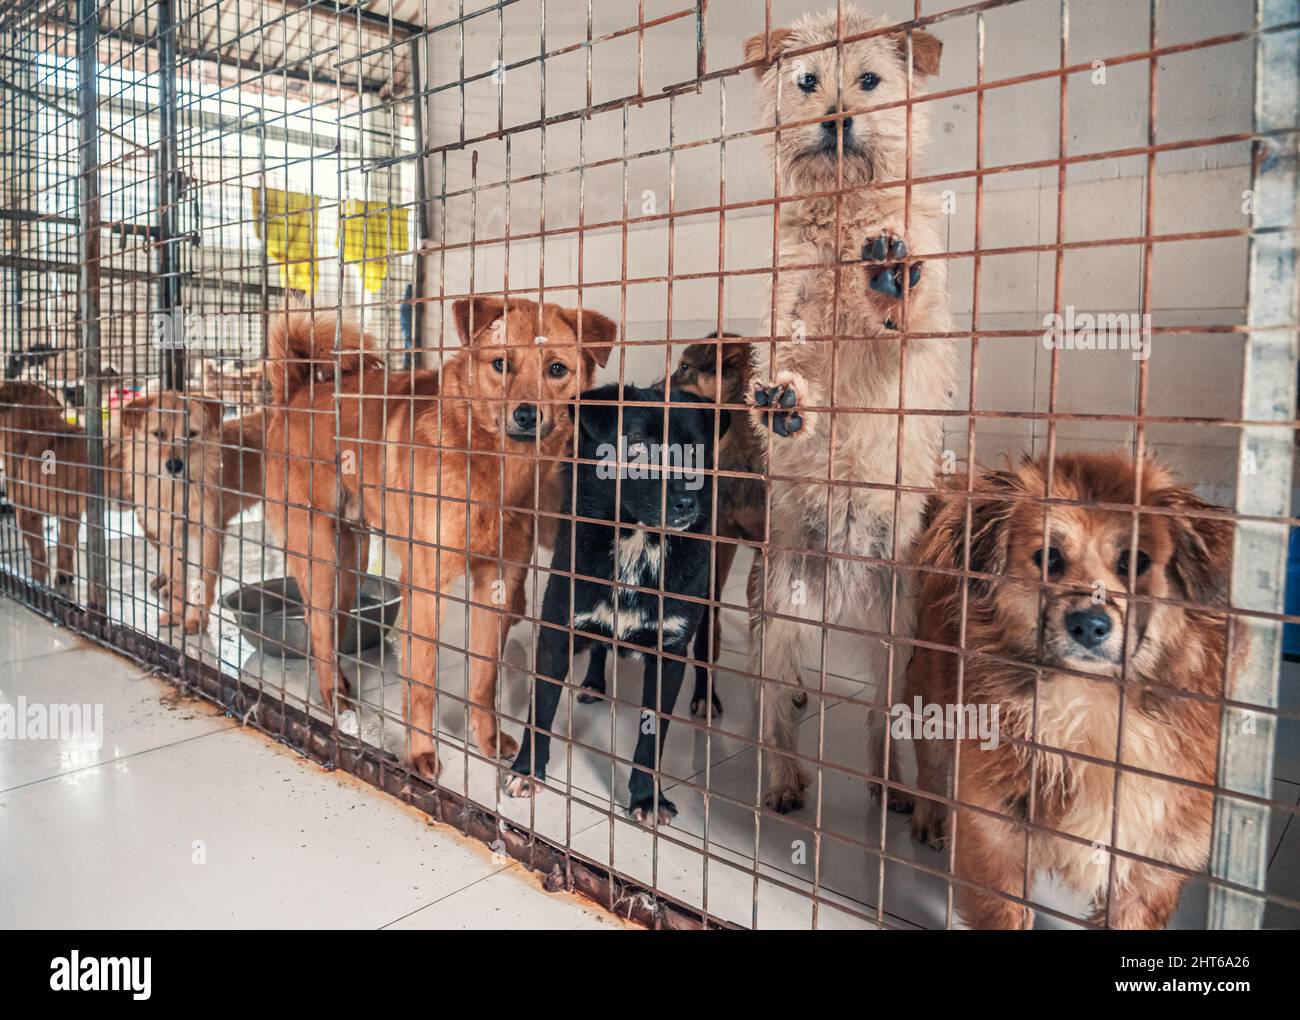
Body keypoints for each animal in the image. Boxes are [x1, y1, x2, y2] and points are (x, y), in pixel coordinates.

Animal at [0, 382, 88, 589]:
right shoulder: (71, 512)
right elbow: (65, 546)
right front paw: (64, 576)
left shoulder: (25, 512)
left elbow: (38, 554)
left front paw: (35, 582)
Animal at [263, 298, 613, 774]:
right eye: (500, 364)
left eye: (557, 369)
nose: (526, 414)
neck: (493, 464)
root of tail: (296, 392)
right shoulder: (427, 586)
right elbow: (423, 679)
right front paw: (420, 753)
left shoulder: (497, 584)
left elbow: (484, 678)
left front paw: (486, 739)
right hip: (319, 554)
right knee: (316, 626)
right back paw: (333, 697)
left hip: (352, 562)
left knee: (332, 624)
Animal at [506, 379, 733, 821]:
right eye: (639, 446)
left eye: (695, 452)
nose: (687, 503)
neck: (637, 542)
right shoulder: (557, 632)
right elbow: (541, 707)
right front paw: (526, 769)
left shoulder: (669, 653)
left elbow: (651, 738)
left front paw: (646, 797)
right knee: (598, 646)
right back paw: (594, 682)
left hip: (708, 605)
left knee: (705, 651)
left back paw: (705, 697)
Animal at [743, 1, 956, 810]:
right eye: (807, 81)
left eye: (868, 80)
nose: (836, 118)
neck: (840, 213)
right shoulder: (788, 320)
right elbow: (790, 366)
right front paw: (785, 403)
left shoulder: (914, 346)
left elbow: (907, 322)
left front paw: (891, 275)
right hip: (777, 610)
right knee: (773, 705)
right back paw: (781, 779)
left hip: (895, 637)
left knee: (878, 717)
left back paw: (891, 784)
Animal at [899, 449, 1242, 925]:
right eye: (1049, 557)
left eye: (1136, 561)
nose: (1089, 624)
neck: (1090, 709)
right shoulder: (997, 837)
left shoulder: (1153, 866)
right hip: (932, 699)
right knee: (931, 764)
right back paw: (930, 816)